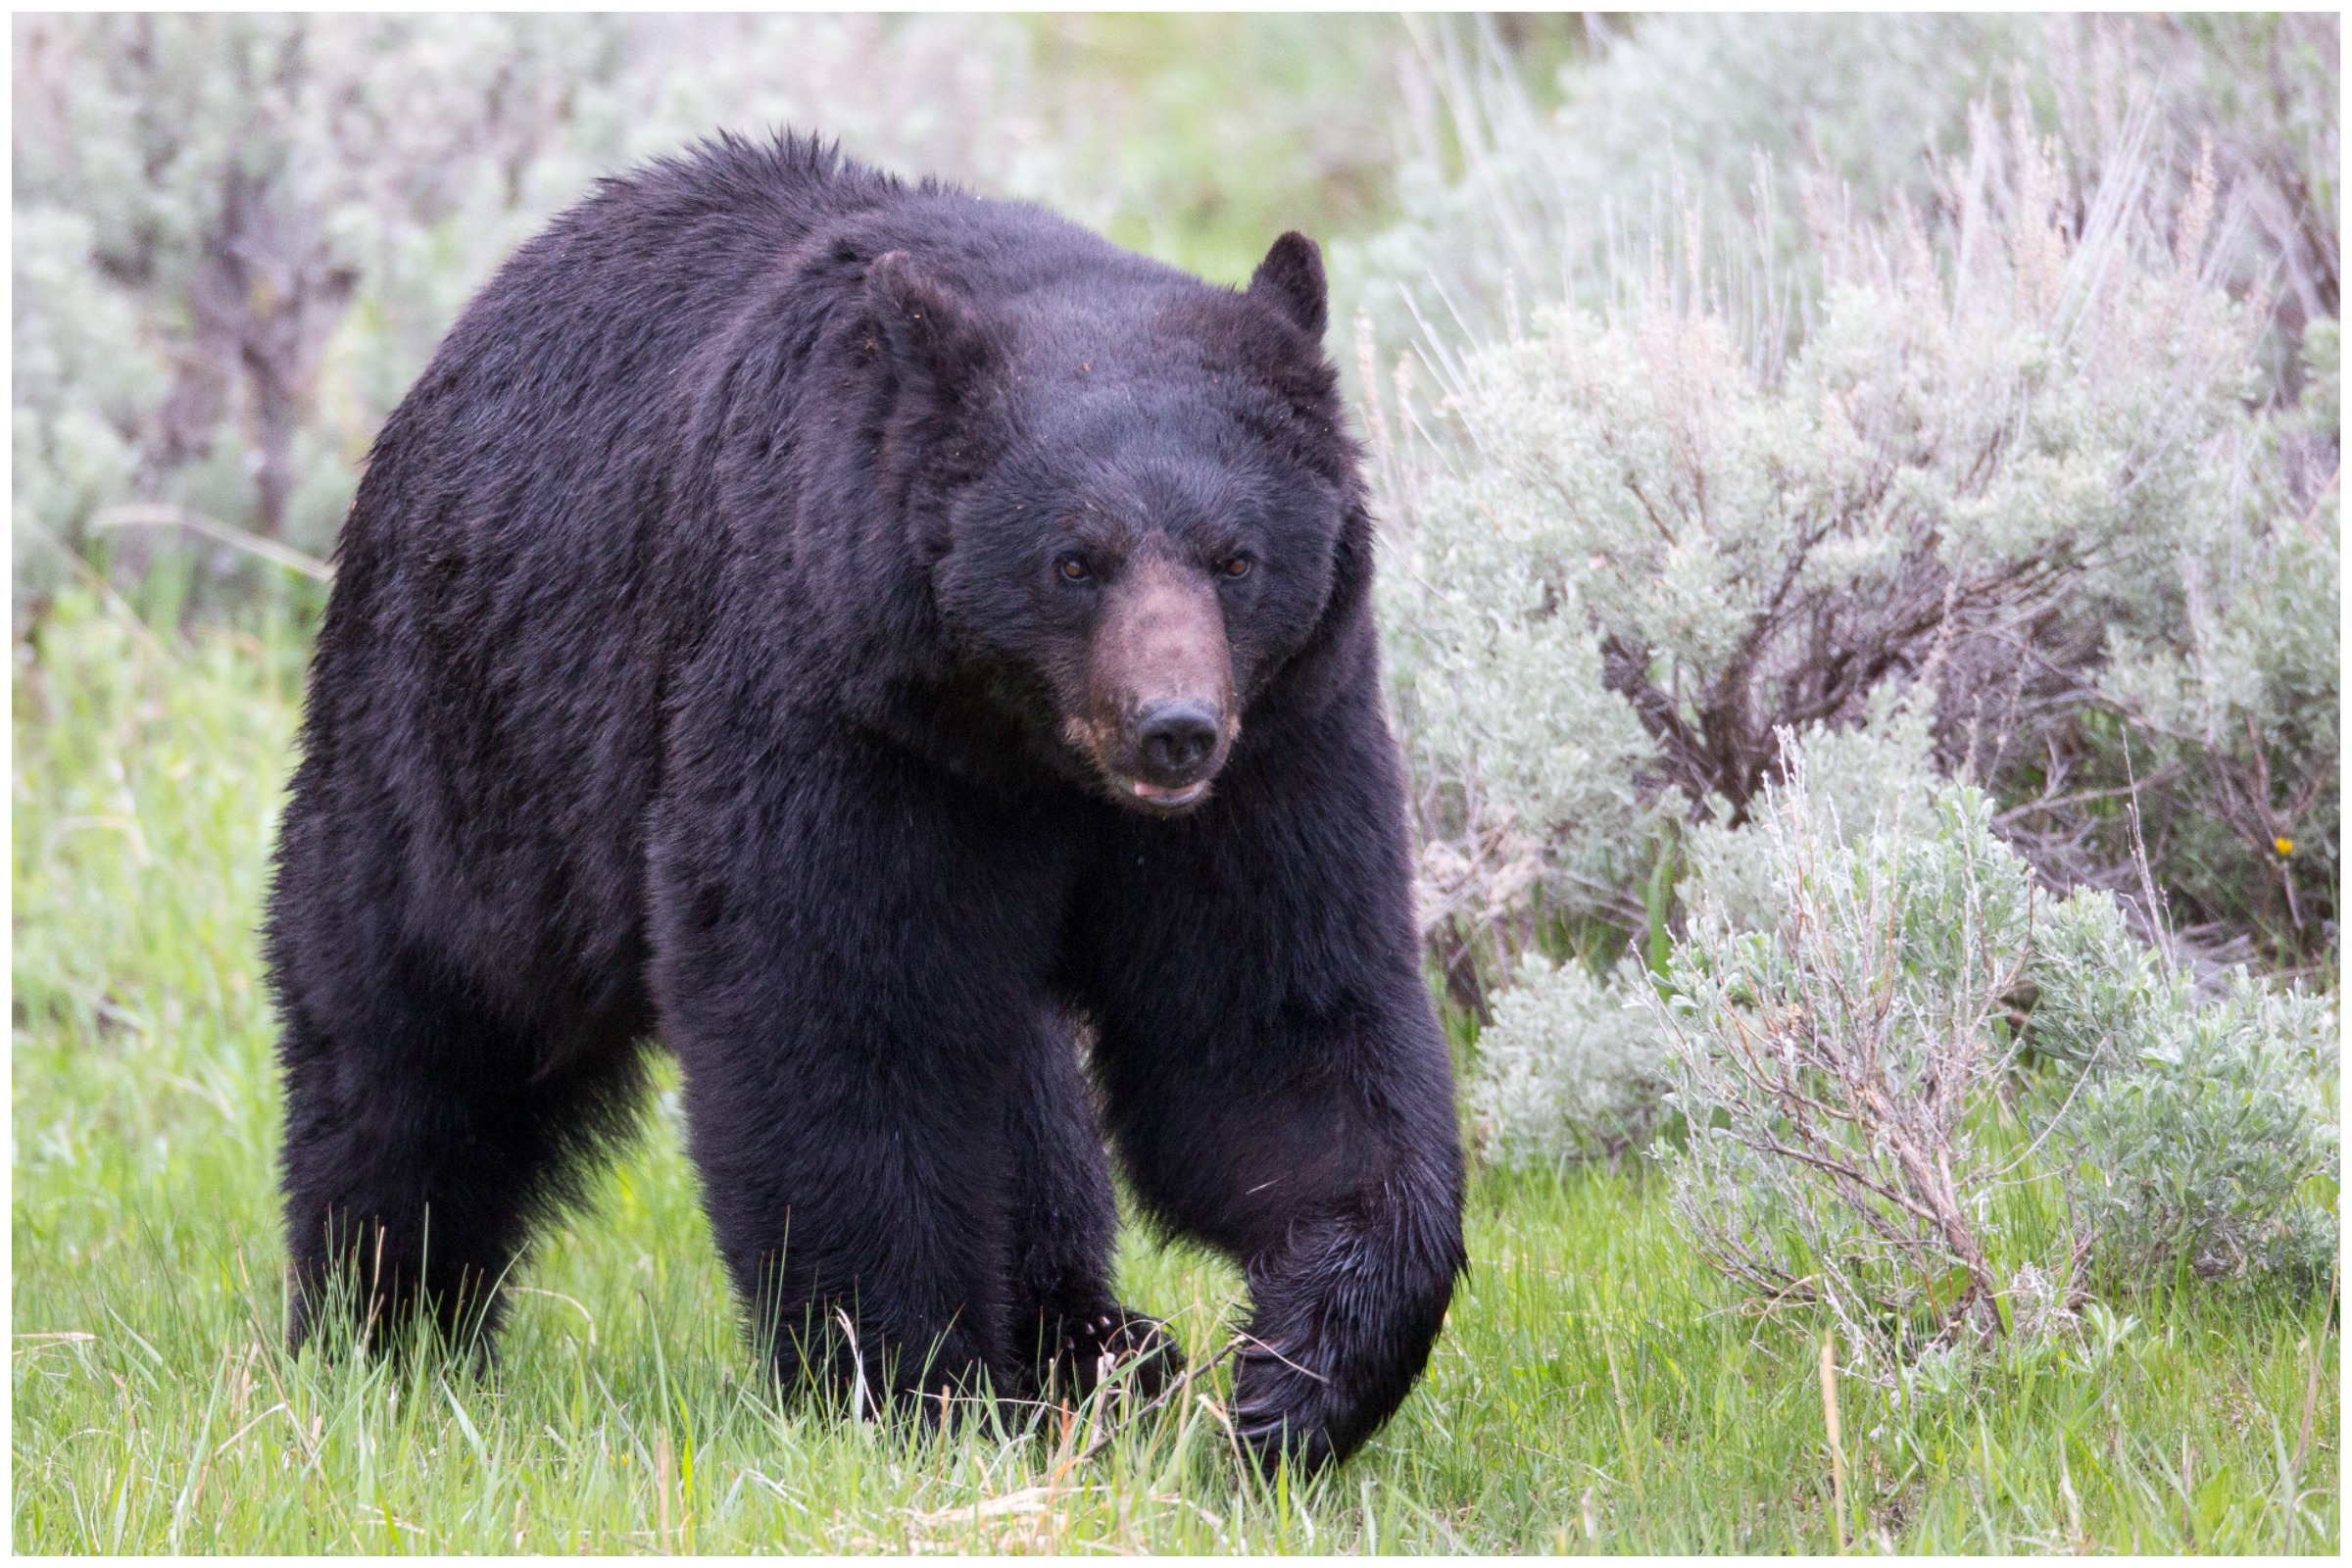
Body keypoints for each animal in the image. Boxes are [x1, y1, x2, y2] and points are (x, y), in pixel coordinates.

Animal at [267, 134, 1458, 1476]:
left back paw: (1097, 1343)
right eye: (1075, 560)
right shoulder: (829, 706)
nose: (1174, 727)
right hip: (471, 738)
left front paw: (1299, 1378)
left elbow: (1271, 1022)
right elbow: (838, 1020)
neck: (1023, 753)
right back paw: (385, 1322)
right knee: (415, 1024)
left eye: (1235, 556)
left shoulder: (1282, 744)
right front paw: (914, 1387)